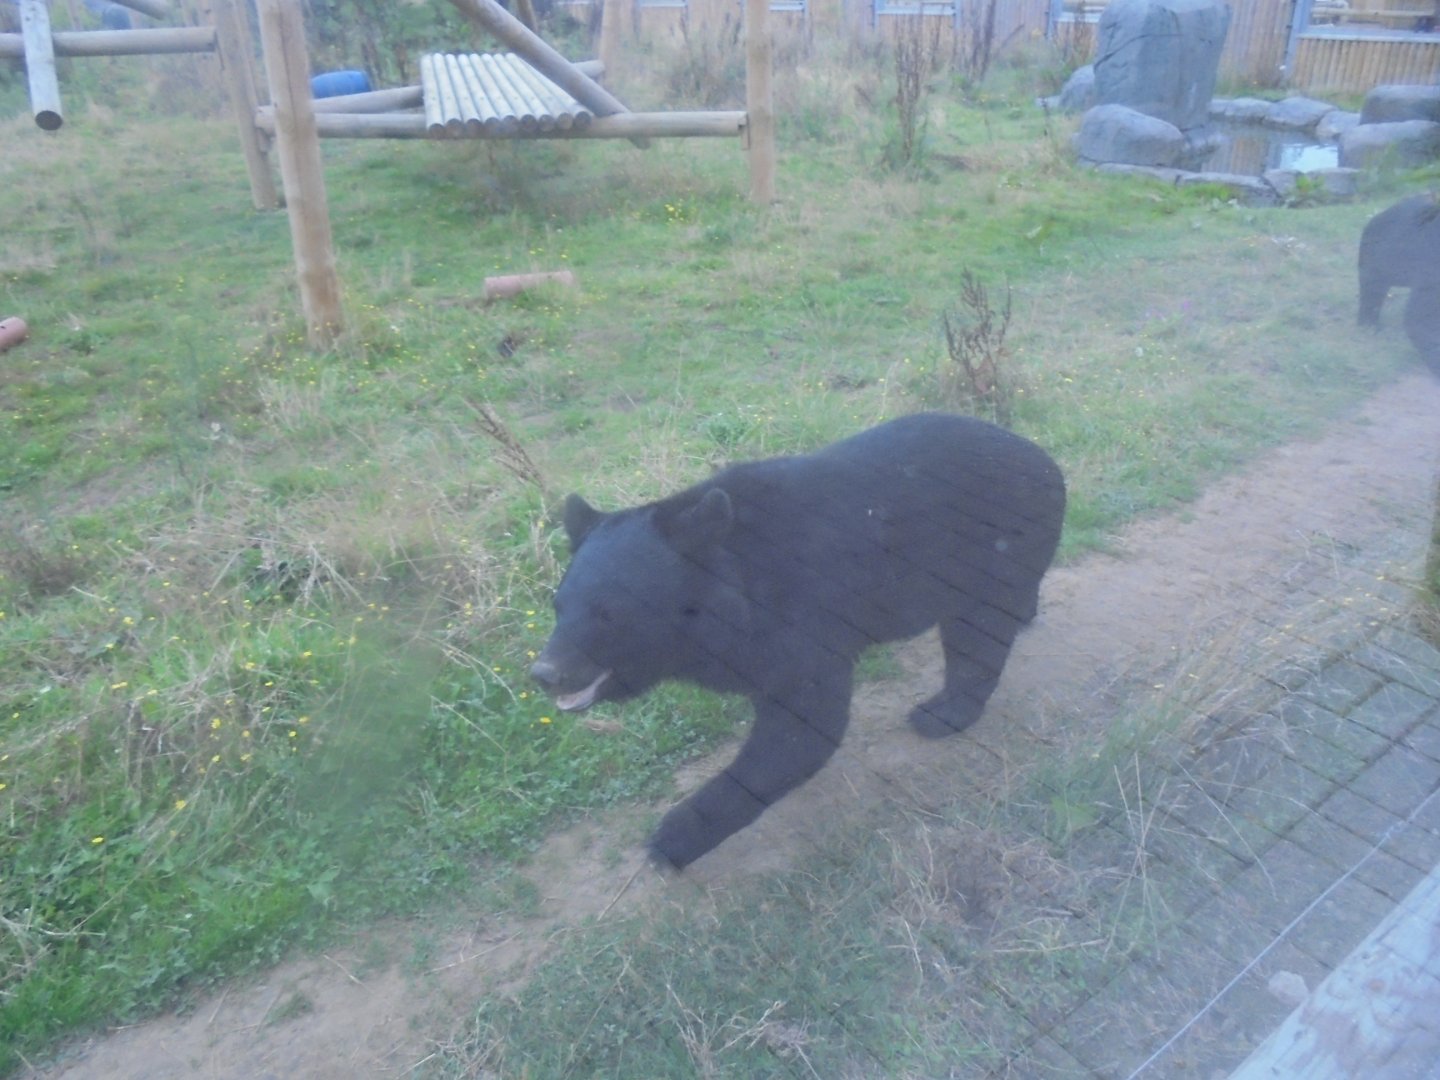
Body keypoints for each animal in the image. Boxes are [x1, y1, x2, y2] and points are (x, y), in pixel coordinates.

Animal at [530, 413, 1067, 870]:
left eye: (609, 615)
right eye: (559, 607)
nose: (545, 672)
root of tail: (1044, 457)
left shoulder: (800, 615)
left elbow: (801, 725)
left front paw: (671, 838)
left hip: (992, 550)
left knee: (976, 635)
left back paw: (941, 712)